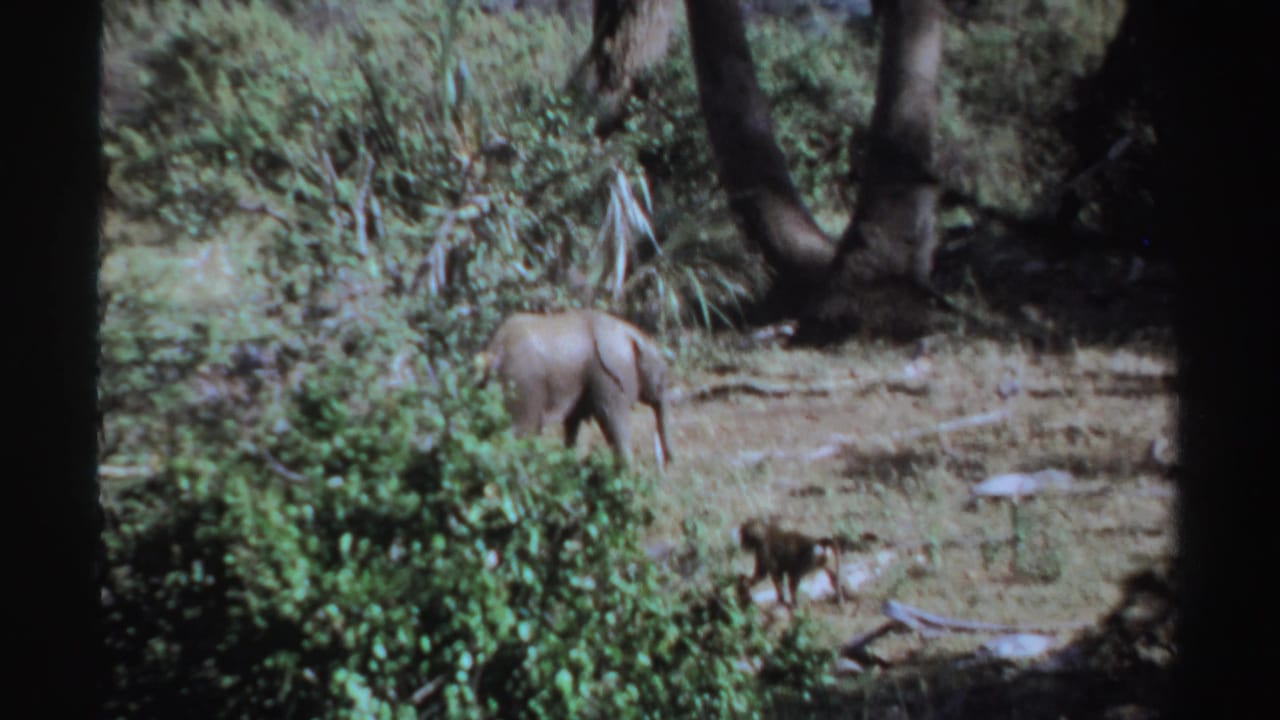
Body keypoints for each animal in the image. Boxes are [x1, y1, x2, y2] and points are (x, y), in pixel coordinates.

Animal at [478, 309, 673, 468]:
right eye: (663, 378)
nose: (669, 461)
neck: (629, 332)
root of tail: (494, 349)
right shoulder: (605, 374)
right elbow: (610, 416)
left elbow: (573, 422)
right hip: (524, 384)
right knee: (521, 431)